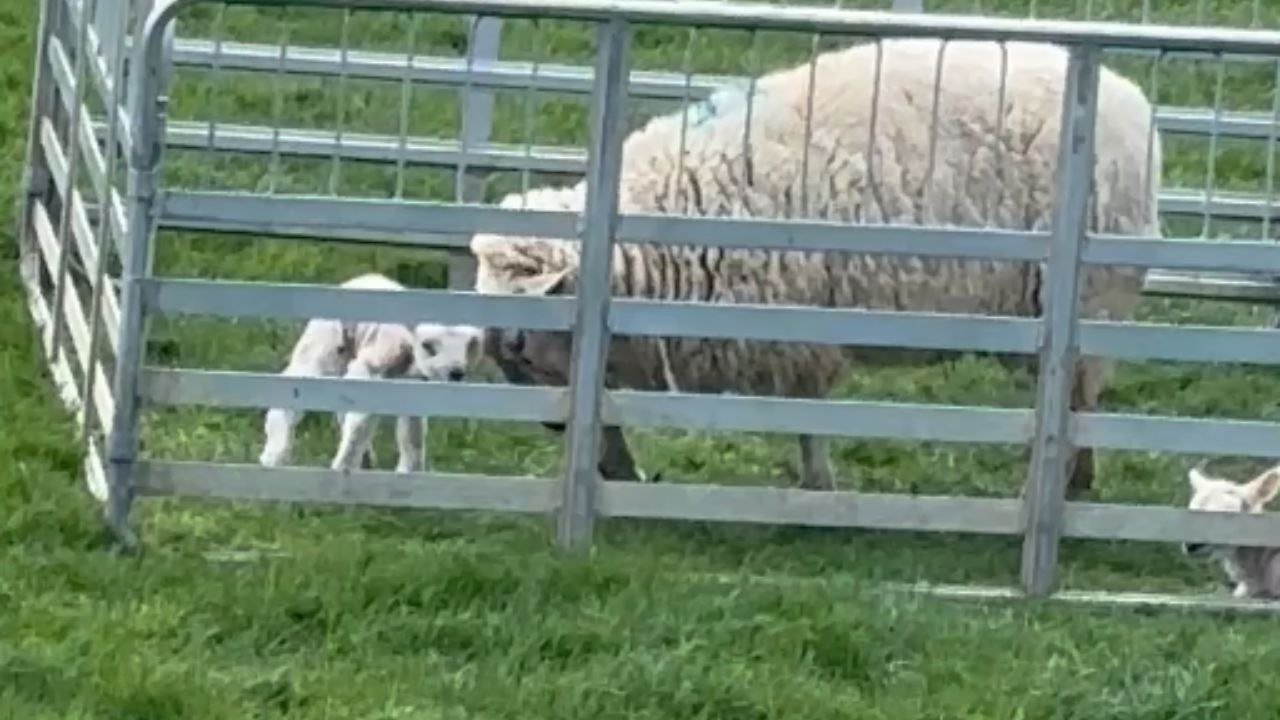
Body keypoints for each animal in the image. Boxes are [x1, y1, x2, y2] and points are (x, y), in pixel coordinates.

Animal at [258, 272, 483, 474]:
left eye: (468, 346)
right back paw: (274, 455)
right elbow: (361, 423)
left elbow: (412, 433)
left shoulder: (414, 389)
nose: (456, 373)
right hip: (324, 346)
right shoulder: (373, 368)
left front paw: (410, 471)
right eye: (428, 346)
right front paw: (343, 467)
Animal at [471, 37, 1162, 495]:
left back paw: (1055, 486)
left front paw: (819, 484)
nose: (547, 424)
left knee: (1075, 399)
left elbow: (808, 414)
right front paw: (617, 470)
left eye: (520, 341)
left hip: (1087, 295)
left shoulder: (795, 324)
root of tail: (1134, 103)